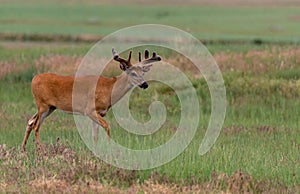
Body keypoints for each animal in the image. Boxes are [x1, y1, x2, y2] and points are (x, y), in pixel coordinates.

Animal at [20, 48, 162, 152]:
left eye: (143, 73)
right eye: (133, 73)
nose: (145, 84)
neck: (109, 89)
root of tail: (34, 79)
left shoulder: (98, 113)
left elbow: (95, 134)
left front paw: (95, 150)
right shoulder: (90, 109)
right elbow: (107, 126)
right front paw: (110, 148)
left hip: (50, 107)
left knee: (30, 122)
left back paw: (23, 149)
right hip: (43, 104)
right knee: (36, 126)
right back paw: (40, 150)